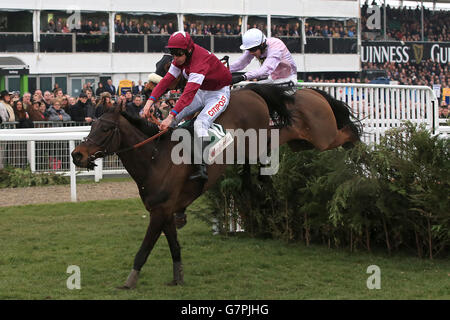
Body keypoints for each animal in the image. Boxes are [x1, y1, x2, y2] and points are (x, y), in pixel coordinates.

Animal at [72, 82, 364, 288]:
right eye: (92, 124)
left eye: (106, 128)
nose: (77, 155)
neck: (155, 159)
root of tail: (250, 91)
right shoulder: (165, 211)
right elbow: (174, 246)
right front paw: (178, 278)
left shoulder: (159, 213)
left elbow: (144, 249)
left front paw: (129, 281)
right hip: (284, 141)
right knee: (292, 137)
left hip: (277, 135)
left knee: (322, 133)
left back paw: (354, 142)